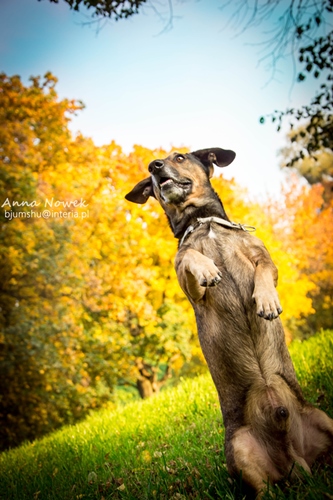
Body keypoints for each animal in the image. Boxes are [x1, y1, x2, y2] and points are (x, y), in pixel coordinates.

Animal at [124, 147, 332, 496]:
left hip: (326, 421)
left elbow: (263, 272)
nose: (154, 166)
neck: (202, 222)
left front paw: (266, 300)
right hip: (240, 448)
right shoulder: (190, 287)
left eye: (179, 157)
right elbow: (191, 258)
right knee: (261, 490)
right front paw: (208, 267)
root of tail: (296, 461)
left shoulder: (266, 260)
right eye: (151, 170)